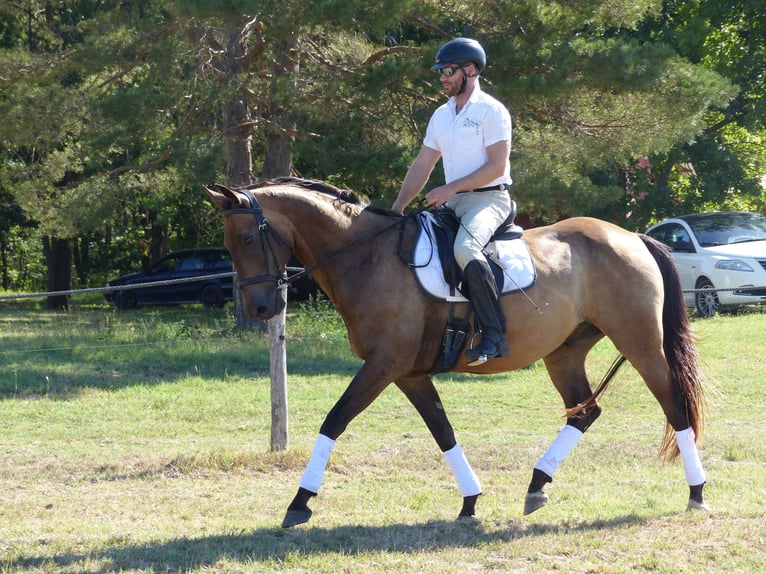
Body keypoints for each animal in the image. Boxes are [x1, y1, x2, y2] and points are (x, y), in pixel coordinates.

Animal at [207, 178, 712, 528]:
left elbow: (334, 420)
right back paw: (536, 486)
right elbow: (442, 430)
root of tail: (631, 235)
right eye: (231, 244)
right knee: (584, 412)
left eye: (248, 239)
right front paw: (470, 501)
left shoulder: (383, 365)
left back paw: (697, 493)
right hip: (564, 353)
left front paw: (299, 502)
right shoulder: (408, 372)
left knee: (674, 405)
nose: (260, 309)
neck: (368, 257)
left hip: (640, 343)